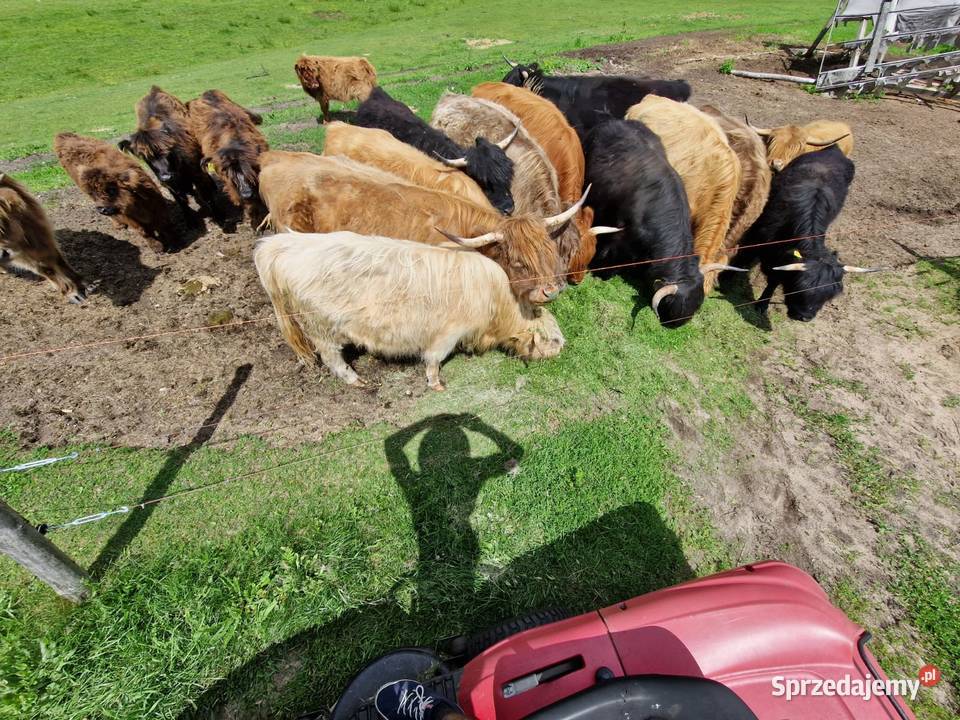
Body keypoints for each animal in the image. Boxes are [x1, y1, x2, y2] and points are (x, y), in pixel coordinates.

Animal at [0, 173, 86, 303]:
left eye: (2, 224)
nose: (2, 254)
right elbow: (45, 268)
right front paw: (72, 293)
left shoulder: (40, 233)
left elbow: (57, 258)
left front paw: (79, 283)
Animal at [118, 86, 221, 223]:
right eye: (145, 157)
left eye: (167, 151)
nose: (166, 177)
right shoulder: (170, 185)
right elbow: (181, 202)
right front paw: (191, 222)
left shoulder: (197, 173)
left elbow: (207, 195)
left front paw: (219, 216)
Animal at [254, 231, 565, 390]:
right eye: (554, 339)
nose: (564, 347)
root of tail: (282, 243)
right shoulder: (446, 334)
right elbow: (433, 360)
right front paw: (435, 383)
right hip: (321, 327)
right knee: (332, 357)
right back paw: (355, 380)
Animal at [734, 145, 876, 322]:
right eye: (799, 287)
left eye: (827, 296)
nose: (804, 317)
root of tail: (835, 149)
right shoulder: (755, 236)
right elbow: (744, 257)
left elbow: (774, 279)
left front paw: (762, 304)